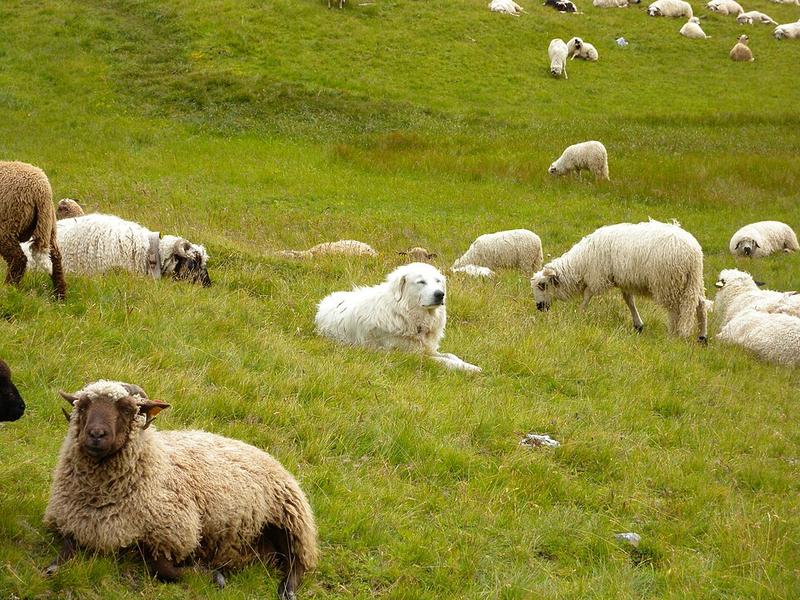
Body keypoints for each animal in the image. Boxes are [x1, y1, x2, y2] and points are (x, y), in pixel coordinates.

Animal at [0, 161, 66, 299]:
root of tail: (41, 190)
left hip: (8, 224)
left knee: (18, 259)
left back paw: (7, 290)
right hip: (48, 225)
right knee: (56, 258)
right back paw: (59, 296)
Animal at [45, 380, 318, 599]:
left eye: (127, 409)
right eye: (83, 406)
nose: (96, 434)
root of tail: (264, 453)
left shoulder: (173, 532)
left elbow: (163, 569)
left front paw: (211, 576)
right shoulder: (75, 522)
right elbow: (64, 552)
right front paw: (52, 568)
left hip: (289, 519)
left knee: (296, 563)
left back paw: (286, 590)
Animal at [531, 219, 708, 341]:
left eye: (542, 285)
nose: (539, 307)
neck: (582, 262)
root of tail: (693, 253)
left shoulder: (598, 275)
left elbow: (588, 294)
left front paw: (580, 313)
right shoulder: (624, 280)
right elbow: (629, 300)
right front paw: (638, 325)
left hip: (668, 281)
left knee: (674, 309)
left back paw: (673, 334)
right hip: (693, 280)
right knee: (700, 305)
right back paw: (702, 337)